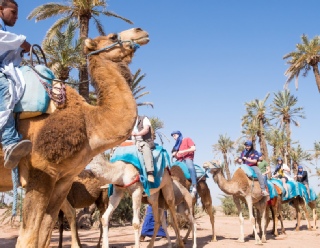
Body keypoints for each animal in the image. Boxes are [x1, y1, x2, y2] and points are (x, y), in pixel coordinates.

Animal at [0, 28, 149, 247]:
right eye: (112, 36)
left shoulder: (63, 180)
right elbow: (28, 238)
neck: (89, 123)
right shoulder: (41, 173)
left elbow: (44, 233)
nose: (140, 31)